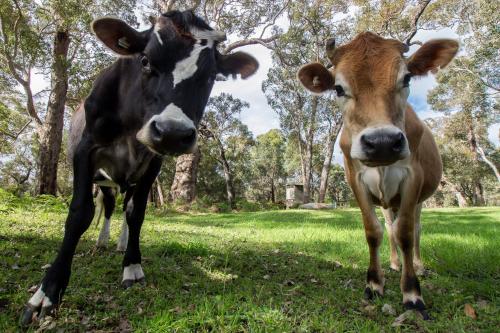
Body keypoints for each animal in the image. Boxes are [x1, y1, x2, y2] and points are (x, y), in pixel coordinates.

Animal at [20, 10, 258, 324]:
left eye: (211, 76)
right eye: (145, 60)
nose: (172, 133)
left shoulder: (152, 165)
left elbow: (136, 214)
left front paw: (131, 265)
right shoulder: (85, 152)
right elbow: (79, 214)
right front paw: (47, 291)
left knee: (125, 207)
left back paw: (121, 243)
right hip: (104, 180)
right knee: (108, 207)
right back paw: (103, 240)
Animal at [298, 31, 458, 316]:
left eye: (407, 78)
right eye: (338, 88)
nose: (382, 142)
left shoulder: (413, 178)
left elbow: (406, 233)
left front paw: (412, 293)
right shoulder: (356, 180)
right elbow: (373, 231)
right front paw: (374, 283)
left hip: (419, 199)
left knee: (415, 229)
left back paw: (417, 266)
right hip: (387, 202)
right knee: (389, 227)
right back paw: (395, 264)